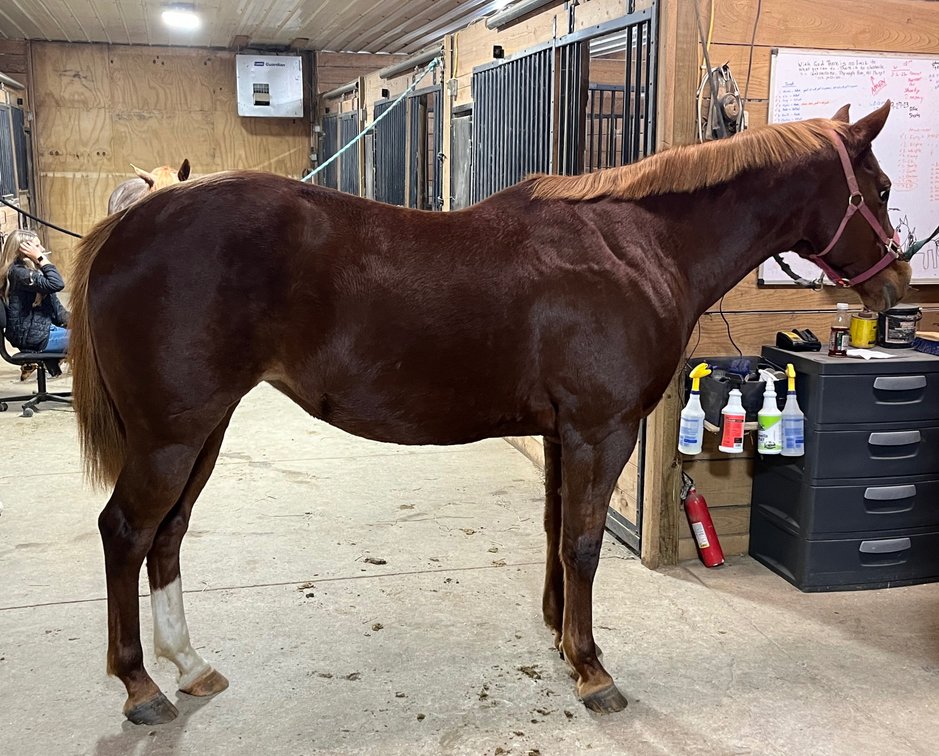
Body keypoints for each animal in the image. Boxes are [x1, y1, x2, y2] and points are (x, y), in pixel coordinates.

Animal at [68, 102, 908, 726]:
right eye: (879, 186)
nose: (895, 286)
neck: (635, 248)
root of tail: (134, 221)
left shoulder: (563, 433)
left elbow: (555, 532)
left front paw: (560, 638)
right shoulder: (601, 431)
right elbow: (583, 544)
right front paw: (592, 668)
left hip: (201, 431)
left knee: (167, 535)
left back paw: (191, 666)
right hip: (171, 436)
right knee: (126, 531)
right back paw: (140, 688)